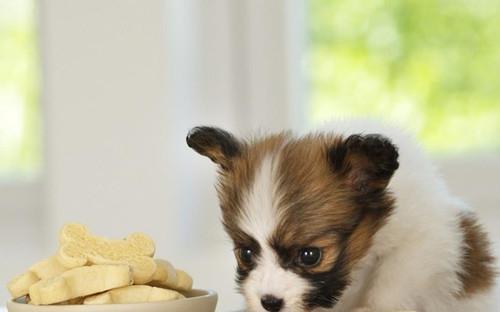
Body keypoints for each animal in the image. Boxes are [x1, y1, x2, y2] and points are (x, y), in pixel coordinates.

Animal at [187, 122, 496, 312]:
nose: (270, 303)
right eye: (246, 254)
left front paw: (376, 306)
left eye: (310, 256)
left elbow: (395, 278)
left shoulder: (424, 240)